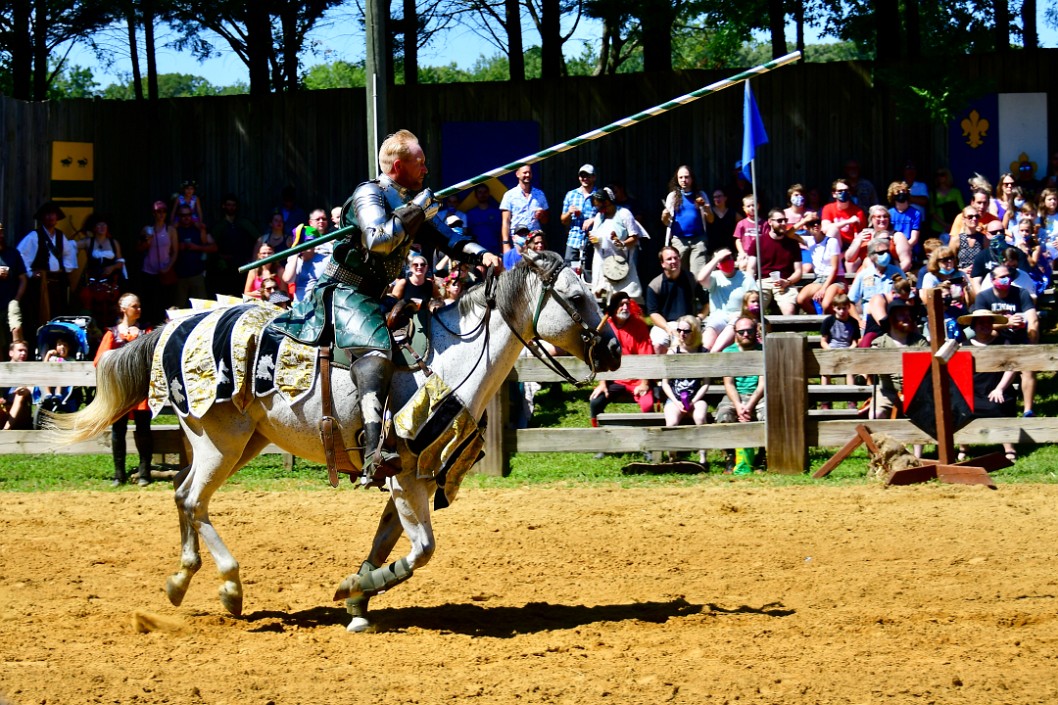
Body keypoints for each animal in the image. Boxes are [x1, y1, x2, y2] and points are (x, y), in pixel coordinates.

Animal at [47, 250, 617, 630]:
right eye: (575, 296)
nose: (612, 348)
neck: (449, 361)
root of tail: (171, 327)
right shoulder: (408, 478)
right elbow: (423, 551)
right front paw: (354, 589)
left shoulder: (405, 480)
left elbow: (384, 545)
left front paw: (357, 601)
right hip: (219, 444)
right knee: (191, 499)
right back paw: (229, 587)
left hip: (239, 443)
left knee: (182, 496)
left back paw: (181, 581)